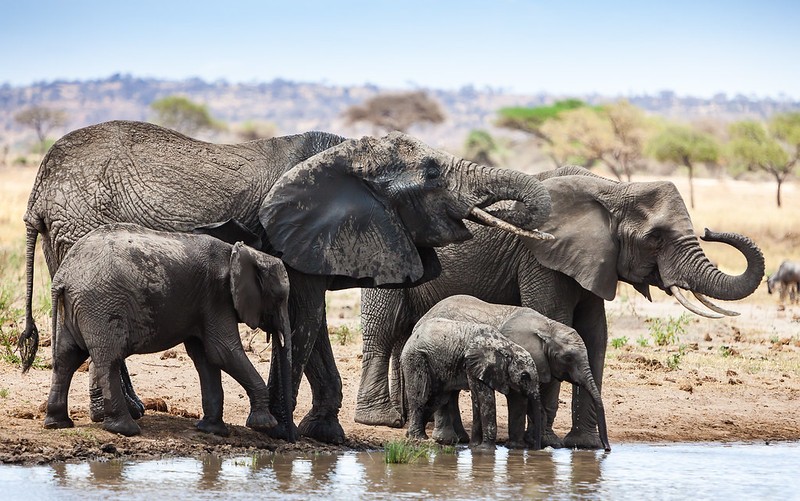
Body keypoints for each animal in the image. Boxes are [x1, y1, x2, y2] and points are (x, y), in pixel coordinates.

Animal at [24, 224, 294, 438]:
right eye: (280, 297)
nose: (288, 437)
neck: (239, 252)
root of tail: (63, 276)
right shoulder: (217, 298)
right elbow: (222, 352)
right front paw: (263, 425)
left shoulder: (203, 303)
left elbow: (206, 358)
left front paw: (212, 431)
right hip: (100, 305)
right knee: (108, 359)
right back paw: (125, 430)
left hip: (73, 308)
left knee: (66, 359)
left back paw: (57, 424)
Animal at [400, 316, 544, 450]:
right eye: (525, 376)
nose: (537, 449)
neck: (506, 345)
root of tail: (412, 337)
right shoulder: (474, 363)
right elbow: (486, 398)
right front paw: (486, 450)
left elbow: (476, 398)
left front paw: (474, 447)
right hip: (415, 358)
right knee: (421, 396)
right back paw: (419, 438)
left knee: (438, 399)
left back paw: (410, 435)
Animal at [422, 294, 608, 452]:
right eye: (568, 358)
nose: (607, 449)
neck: (548, 327)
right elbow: (517, 397)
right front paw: (517, 447)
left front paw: (531, 443)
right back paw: (446, 440)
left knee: (451, 392)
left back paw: (461, 439)